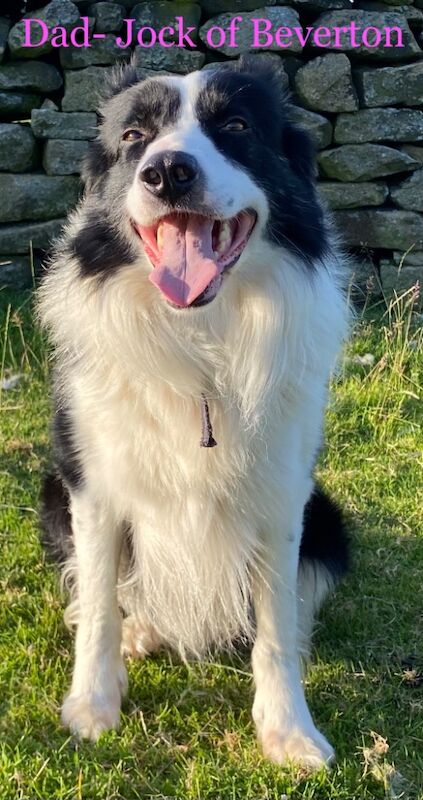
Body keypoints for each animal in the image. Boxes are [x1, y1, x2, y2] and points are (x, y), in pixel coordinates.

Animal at [39, 56, 352, 768]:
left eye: (235, 126)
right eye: (133, 137)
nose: (168, 171)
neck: (200, 339)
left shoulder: (284, 496)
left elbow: (275, 622)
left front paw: (289, 731)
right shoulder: (92, 486)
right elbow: (100, 603)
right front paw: (92, 706)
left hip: (329, 517)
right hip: (51, 491)